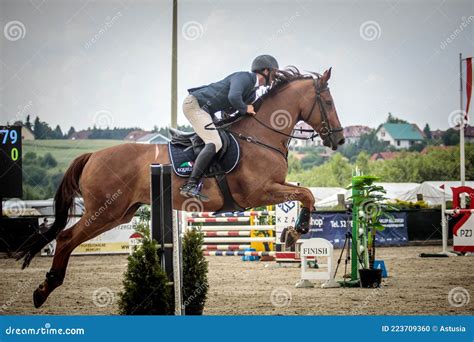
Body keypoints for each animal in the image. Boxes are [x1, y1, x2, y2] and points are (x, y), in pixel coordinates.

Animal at [15, 67, 344, 308]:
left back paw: (45, 288)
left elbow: (306, 193)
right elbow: (306, 194)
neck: (261, 135)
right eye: (328, 102)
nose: (339, 139)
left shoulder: (271, 188)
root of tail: (92, 155)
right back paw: (44, 288)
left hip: (120, 213)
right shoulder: (259, 191)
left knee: (68, 237)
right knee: (66, 237)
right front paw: (295, 231)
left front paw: (291, 233)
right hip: (104, 211)